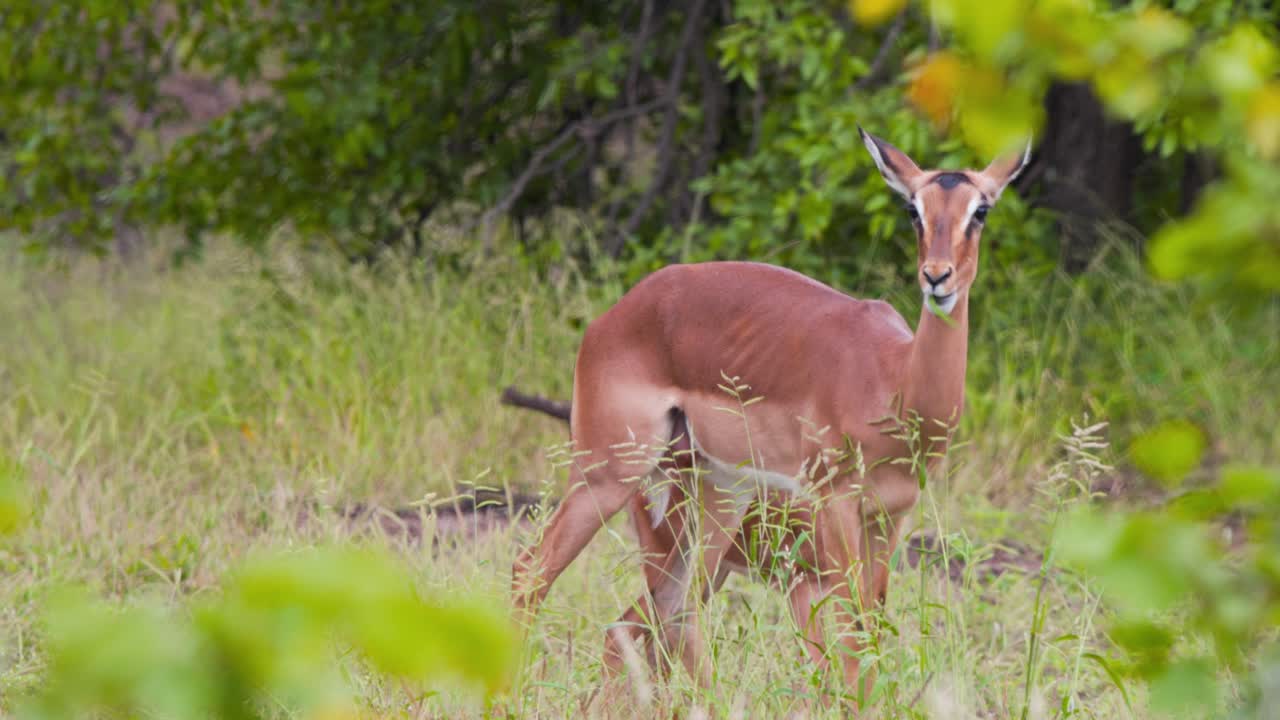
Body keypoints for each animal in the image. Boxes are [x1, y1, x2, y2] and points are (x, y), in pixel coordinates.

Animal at [511, 129, 1029, 705]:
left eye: (980, 210)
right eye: (913, 209)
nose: (936, 277)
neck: (894, 380)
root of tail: (612, 317)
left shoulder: (890, 516)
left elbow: (871, 626)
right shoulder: (834, 507)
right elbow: (851, 637)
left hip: (714, 496)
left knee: (668, 610)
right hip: (608, 475)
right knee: (532, 573)